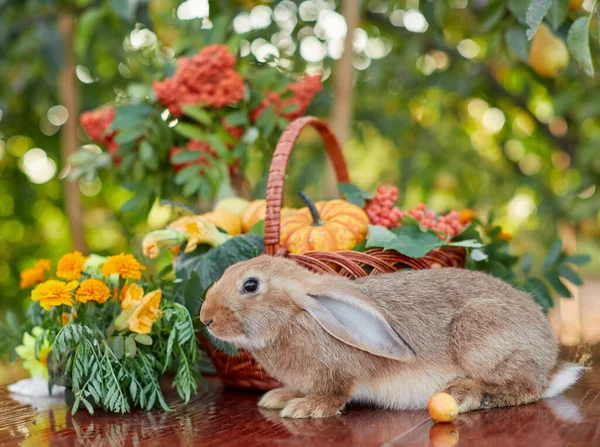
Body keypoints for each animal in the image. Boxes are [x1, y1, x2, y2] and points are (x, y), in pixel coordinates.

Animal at [200, 256, 580, 420]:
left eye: (250, 285)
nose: (206, 318)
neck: (299, 316)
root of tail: (549, 363)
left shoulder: (337, 374)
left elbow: (335, 393)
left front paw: (306, 408)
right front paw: (279, 398)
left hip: (480, 336)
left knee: (524, 389)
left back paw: (467, 394)